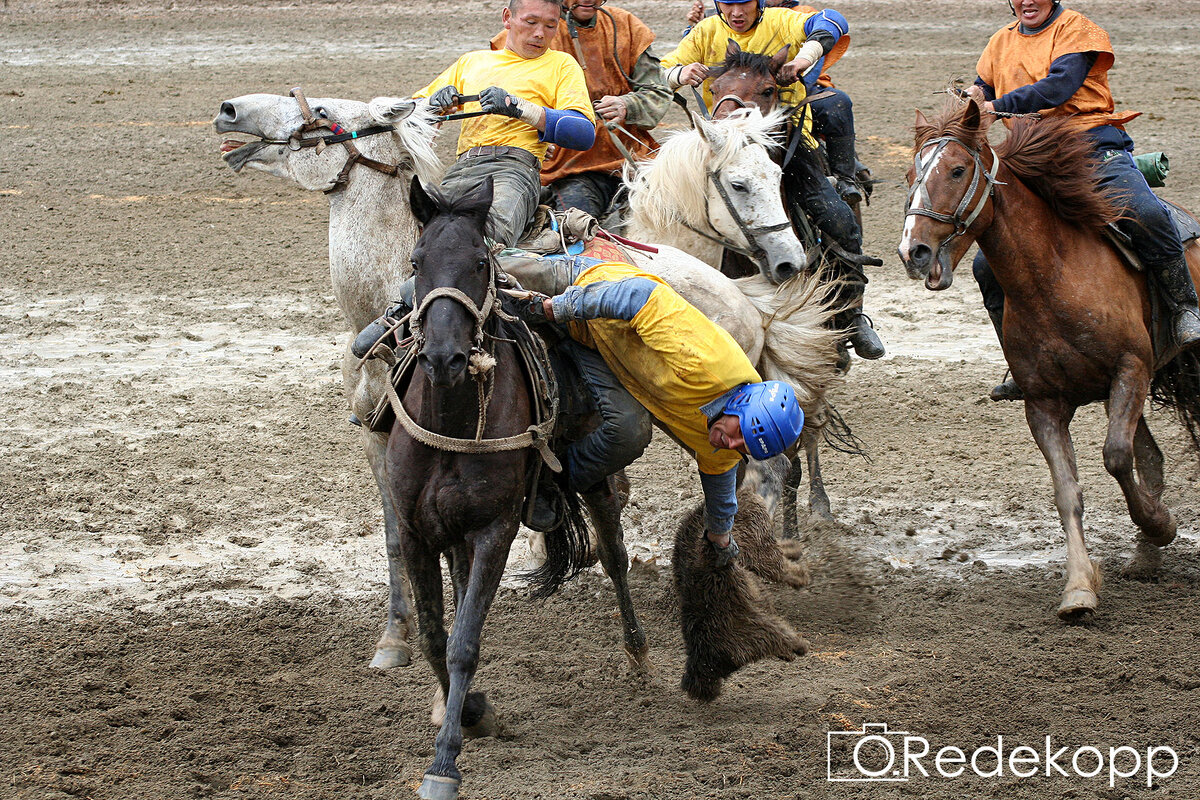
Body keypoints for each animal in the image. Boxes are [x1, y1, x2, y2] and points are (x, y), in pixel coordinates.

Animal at [211, 90, 844, 671]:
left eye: (318, 110)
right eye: (740, 183)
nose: (229, 110)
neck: (389, 296)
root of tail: (746, 302)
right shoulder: (379, 439)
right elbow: (396, 534)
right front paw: (395, 637)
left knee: (760, 476)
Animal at [386, 176, 648, 800]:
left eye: (481, 263)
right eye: (417, 260)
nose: (444, 356)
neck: (452, 422)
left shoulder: (494, 532)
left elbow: (463, 643)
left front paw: (445, 762)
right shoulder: (416, 532)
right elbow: (434, 635)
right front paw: (470, 712)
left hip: (596, 476)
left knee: (614, 554)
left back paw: (638, 654)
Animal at [902, 100, 1200, 623]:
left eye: (956, 170)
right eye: (910, 174)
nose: (912, 251)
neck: (1052, 276)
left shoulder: (1130, 369)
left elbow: (1115, 456)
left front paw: (1161, 525)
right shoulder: (1043, 404)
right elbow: (1069, 493)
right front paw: (1079, 588)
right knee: (1151, 458)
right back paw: (1145, 558)